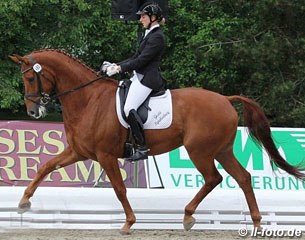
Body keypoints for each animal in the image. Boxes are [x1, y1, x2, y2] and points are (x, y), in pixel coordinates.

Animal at [9, 49, 304, 234]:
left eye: (29, 77)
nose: (33, 112)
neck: (88, 100)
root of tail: (225, 98)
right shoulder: (79, 152)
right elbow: (46, 167)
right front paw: (23, 203)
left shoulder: (105, 155)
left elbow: (119, 190)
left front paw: (128, 223)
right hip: (221, 150)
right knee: (242, 177)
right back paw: (256, 223)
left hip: (199, 150)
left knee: (214, 178)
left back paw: (188, 216)